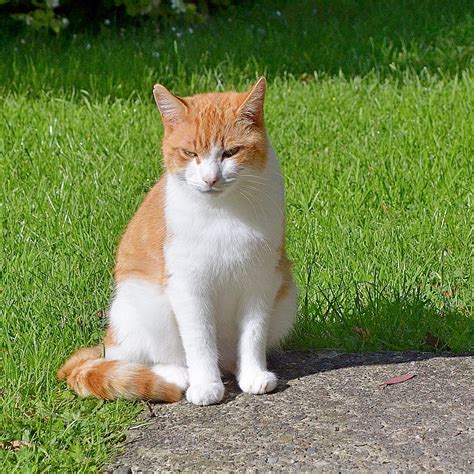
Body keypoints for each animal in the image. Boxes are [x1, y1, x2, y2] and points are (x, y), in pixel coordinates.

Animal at [58, 78, 296, 408]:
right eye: (189, 152)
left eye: (231, 152)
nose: (210, 178)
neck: (223, 212)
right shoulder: (188, 287)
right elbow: (199, 340)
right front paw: (205, 384)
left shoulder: (260, 281)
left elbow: (253, 333)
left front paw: (253, 374)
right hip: (146, 304)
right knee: (141, 358)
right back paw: (177, 375)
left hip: (286, 296)